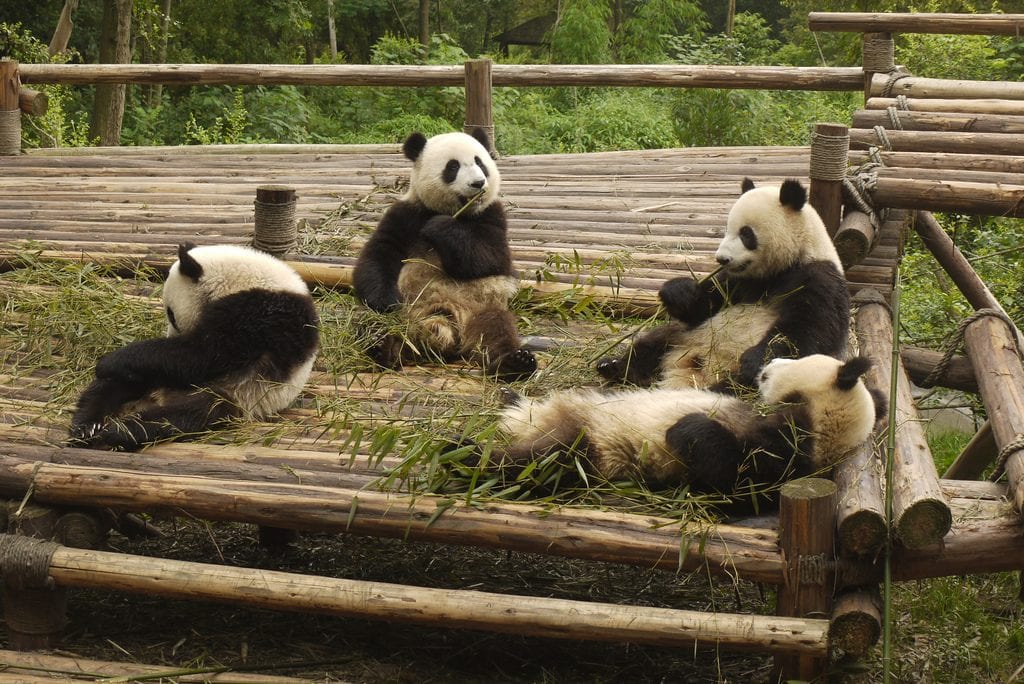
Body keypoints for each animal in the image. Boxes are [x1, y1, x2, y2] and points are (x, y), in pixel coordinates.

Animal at [70, 242, 317, 450]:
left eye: (171, 314)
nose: (169, 336)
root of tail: (160, 396)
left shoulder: (262, 313)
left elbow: (203, 355)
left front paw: (108, 361)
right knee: (111, 387)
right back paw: (86, 426)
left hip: (239, 394)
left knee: (187, 414)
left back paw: (120, 431)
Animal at [593, 178, 847, 389]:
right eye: (727, 230)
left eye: (746, 234)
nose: (721, 259)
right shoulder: (737, 282)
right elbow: (704, 305)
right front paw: (678, 291)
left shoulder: (817, 277)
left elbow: (807, 331)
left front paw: (754, 361)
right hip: (687, 335)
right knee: (655, 342)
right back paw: (614, 366)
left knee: (738, 387)